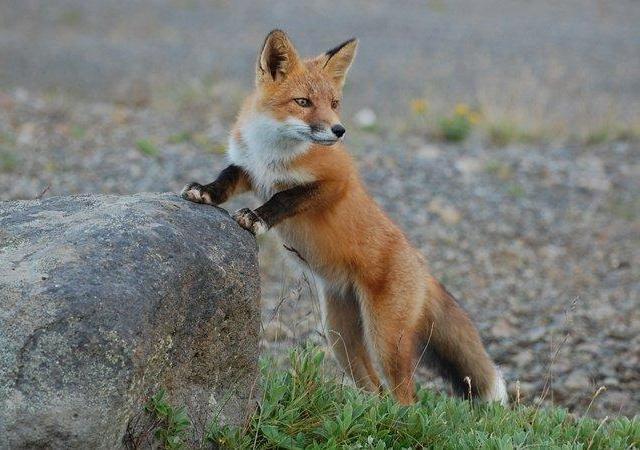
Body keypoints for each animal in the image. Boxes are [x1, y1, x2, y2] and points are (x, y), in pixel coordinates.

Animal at [182, 29, 508, 406]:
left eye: (334, 103)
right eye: (304, 102)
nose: (340, 131)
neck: (272, 153)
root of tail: (421, 266)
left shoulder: (336, 181)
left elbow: (284, 197)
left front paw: (258, 218)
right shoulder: (249, 168)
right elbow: (226, 177)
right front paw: (204, 192)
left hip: (385, 339)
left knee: (404, 397)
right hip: (340, 338)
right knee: (375, 389)